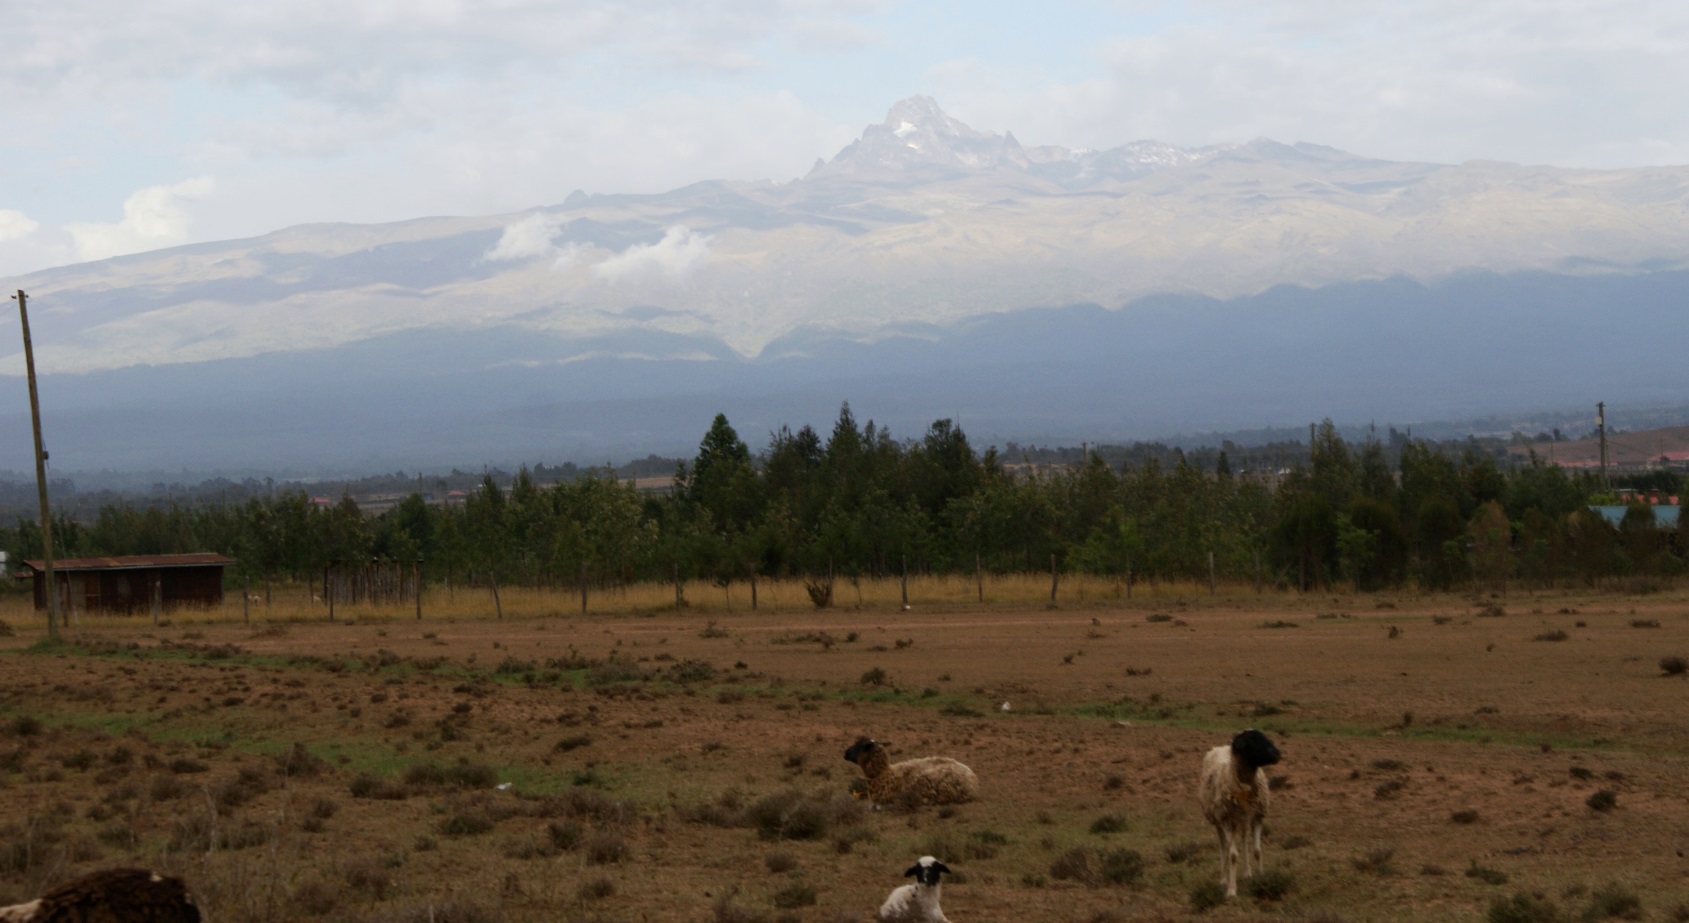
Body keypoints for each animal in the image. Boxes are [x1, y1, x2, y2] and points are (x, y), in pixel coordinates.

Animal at [1202, 723, 1276, 892]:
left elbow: (1257, 851)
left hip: (1242, 819)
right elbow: (1233, 855)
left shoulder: (1257, 817)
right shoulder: (1225, 820)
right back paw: (1223, 879)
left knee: (1243, 839)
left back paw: (1248, 873)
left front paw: (1262, 879)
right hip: (1219, 820)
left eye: (1264, 736)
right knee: (1224, 847)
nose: (1277, 753)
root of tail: (1220, 747)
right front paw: (1231, 889)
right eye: (1251, 741)